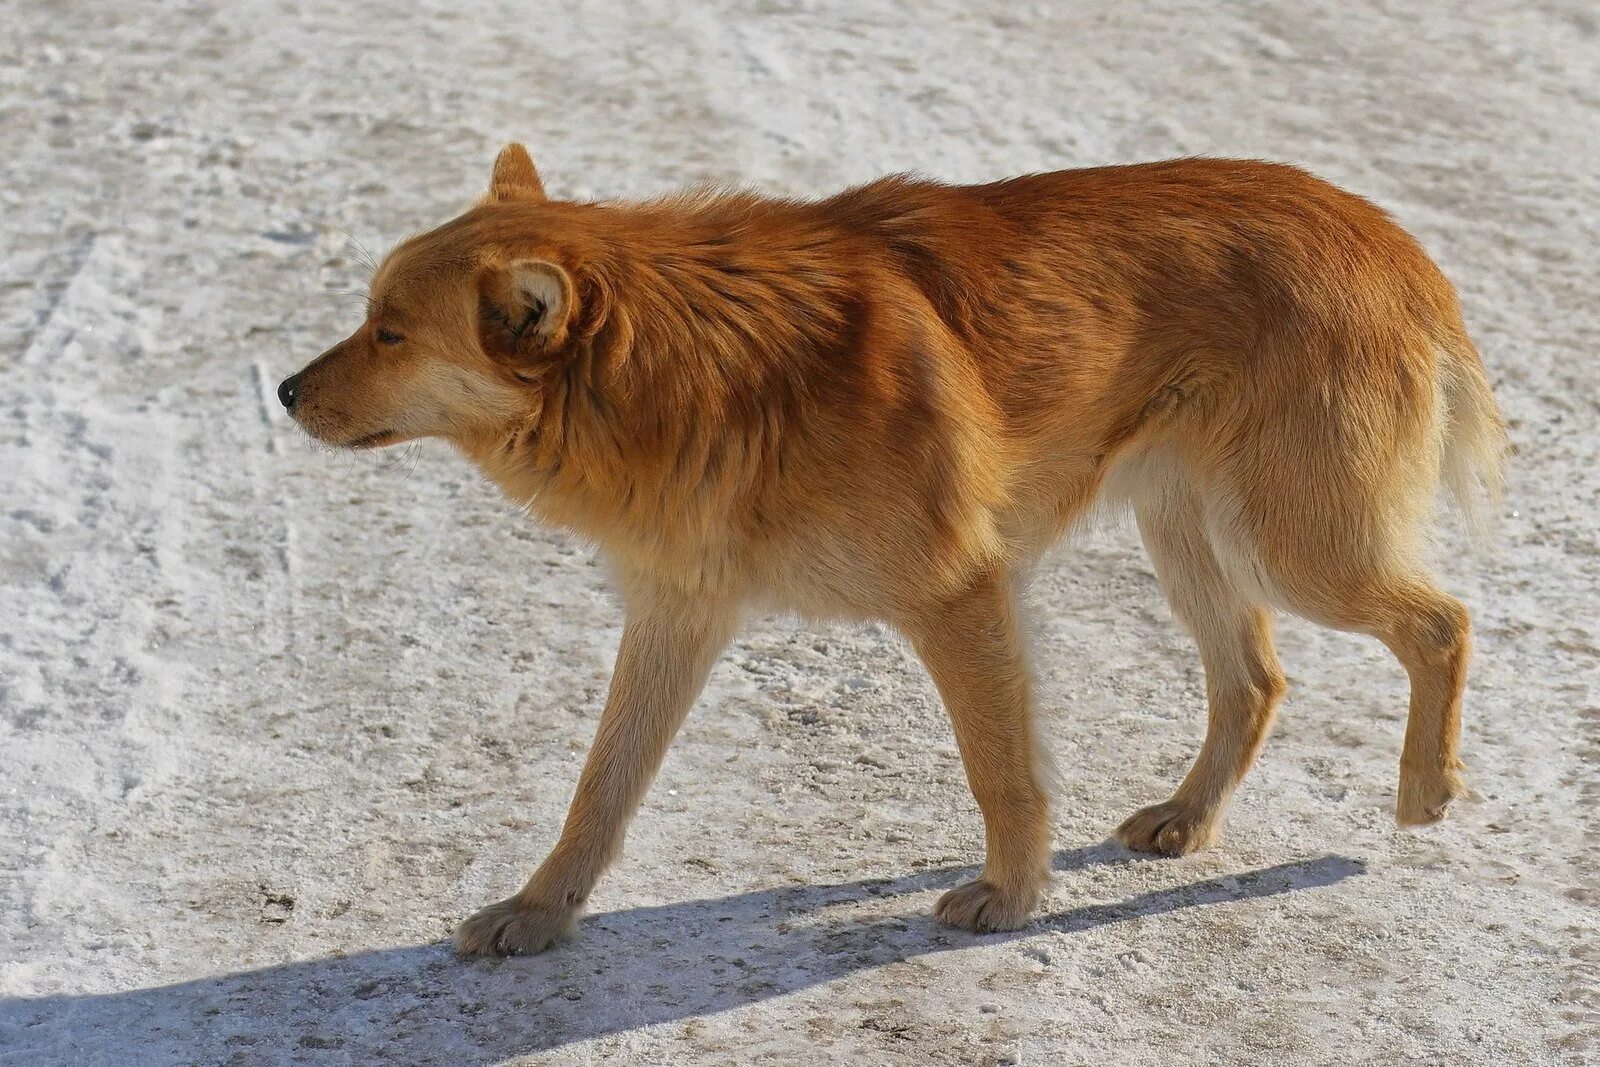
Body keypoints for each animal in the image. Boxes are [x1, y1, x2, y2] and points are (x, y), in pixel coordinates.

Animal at [281, 143, 1504, 959]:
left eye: (390, 332)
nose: (285, 390)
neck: (697, 365)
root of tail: (1390, 238)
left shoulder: (960, 595)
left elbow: (1001, 773)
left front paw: (1010, 899)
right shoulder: (678, 613)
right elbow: (601, 786)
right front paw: (542, 910)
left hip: (1294, 541)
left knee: (1443, 622)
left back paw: (1424, 787)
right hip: (1185, 530)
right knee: (1255, 678)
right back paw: (1189, 818)